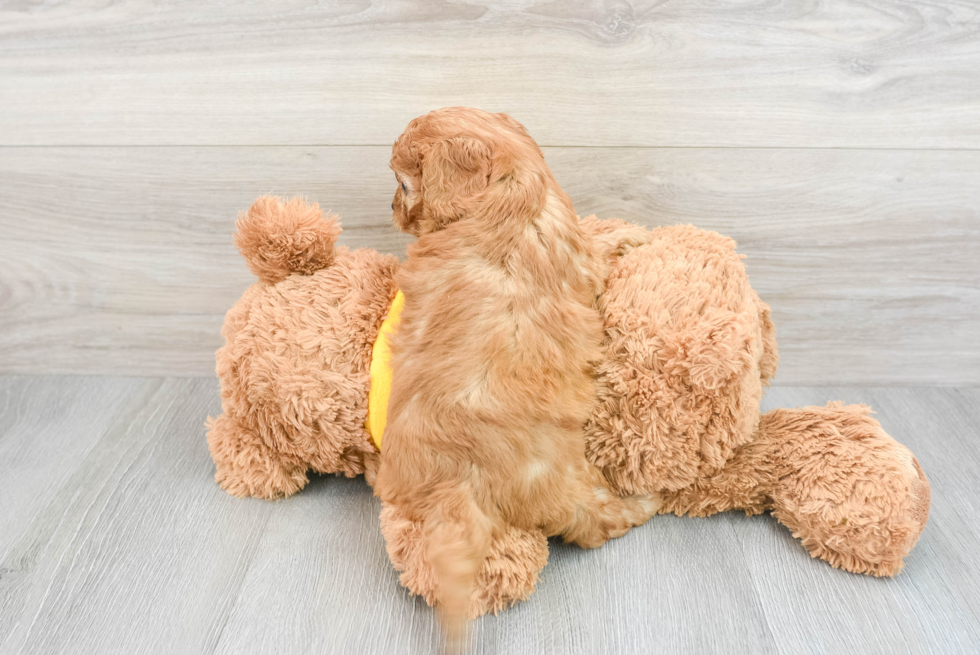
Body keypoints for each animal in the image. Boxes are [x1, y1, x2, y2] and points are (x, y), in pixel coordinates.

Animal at [376, 107, 660, 644]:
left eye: (403, 185)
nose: (394, 211)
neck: (505, 189)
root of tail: (457, 485)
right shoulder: (581, 259)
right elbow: (599, 243)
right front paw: (631, 235)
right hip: (566, 485)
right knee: (596, 524)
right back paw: (643, 503)